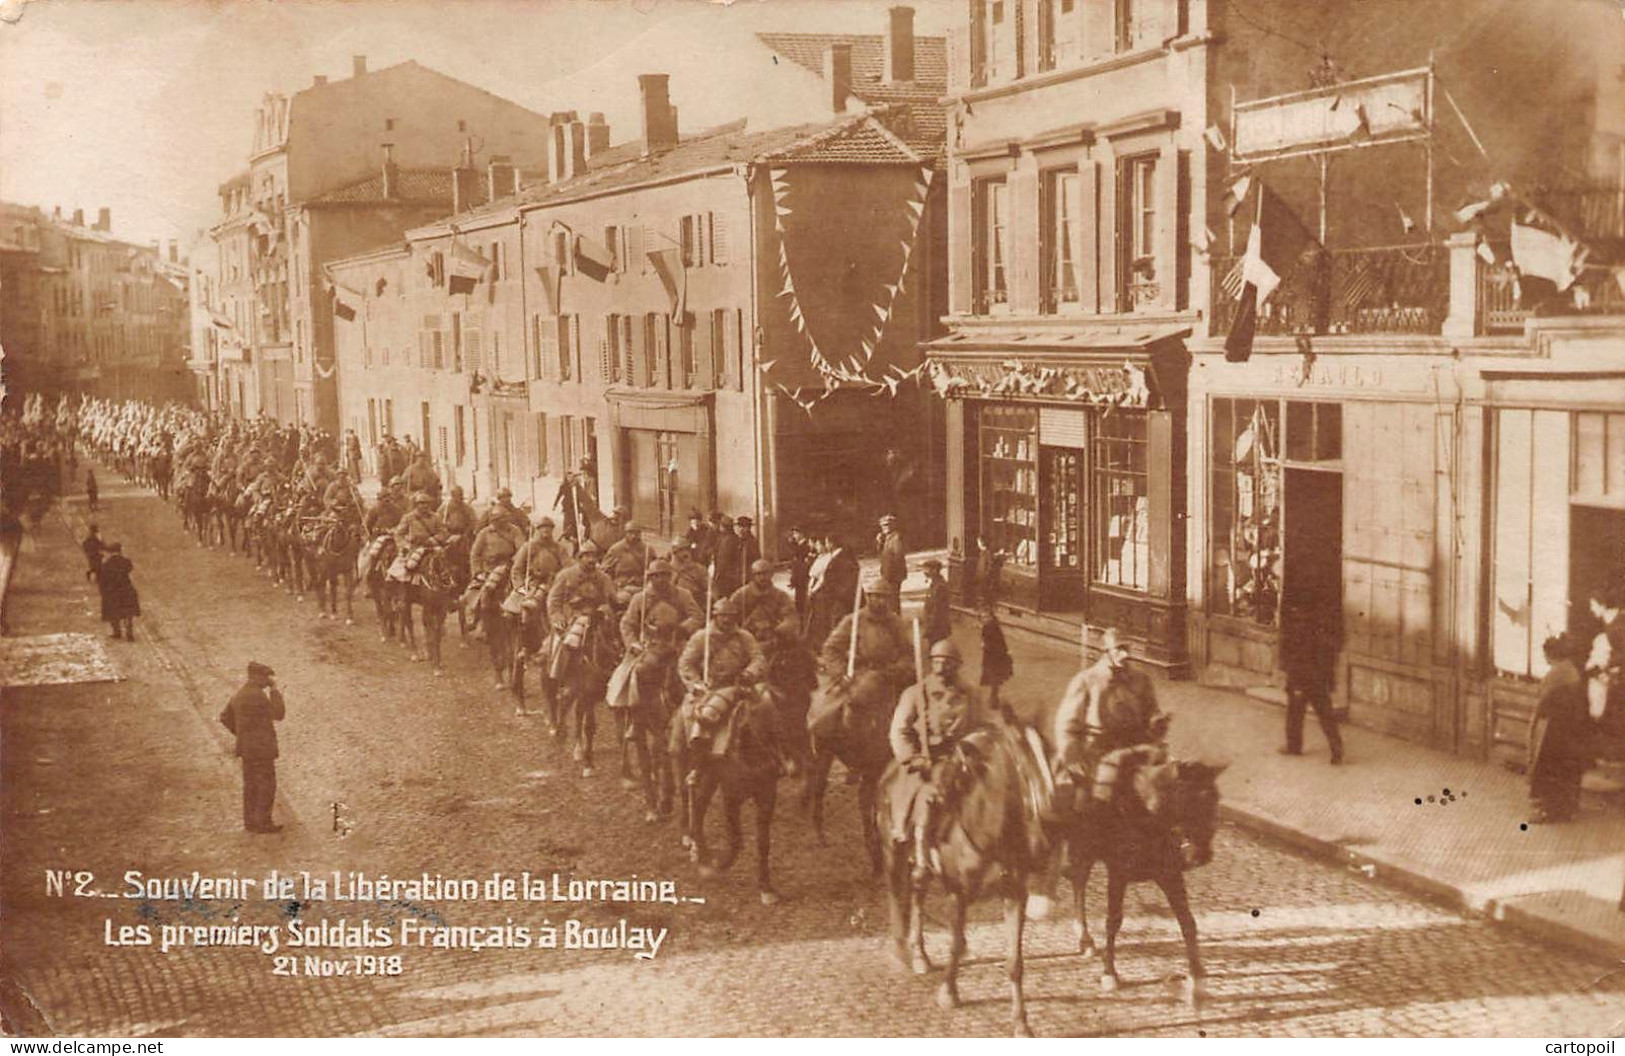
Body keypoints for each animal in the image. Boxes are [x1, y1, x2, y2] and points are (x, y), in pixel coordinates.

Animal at [877, 718, 1053, 1033]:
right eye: (1022, 773)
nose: (1041, 847)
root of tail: (889, 771)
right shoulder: (956, 893)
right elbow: (955, 943)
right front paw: (949, 994)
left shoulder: (1014, 894)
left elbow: (1014, 961)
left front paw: (1021, 1022)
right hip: (891, 851)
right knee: (897, 895)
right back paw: (902, 953)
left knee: (917, 890)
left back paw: (920, 954)